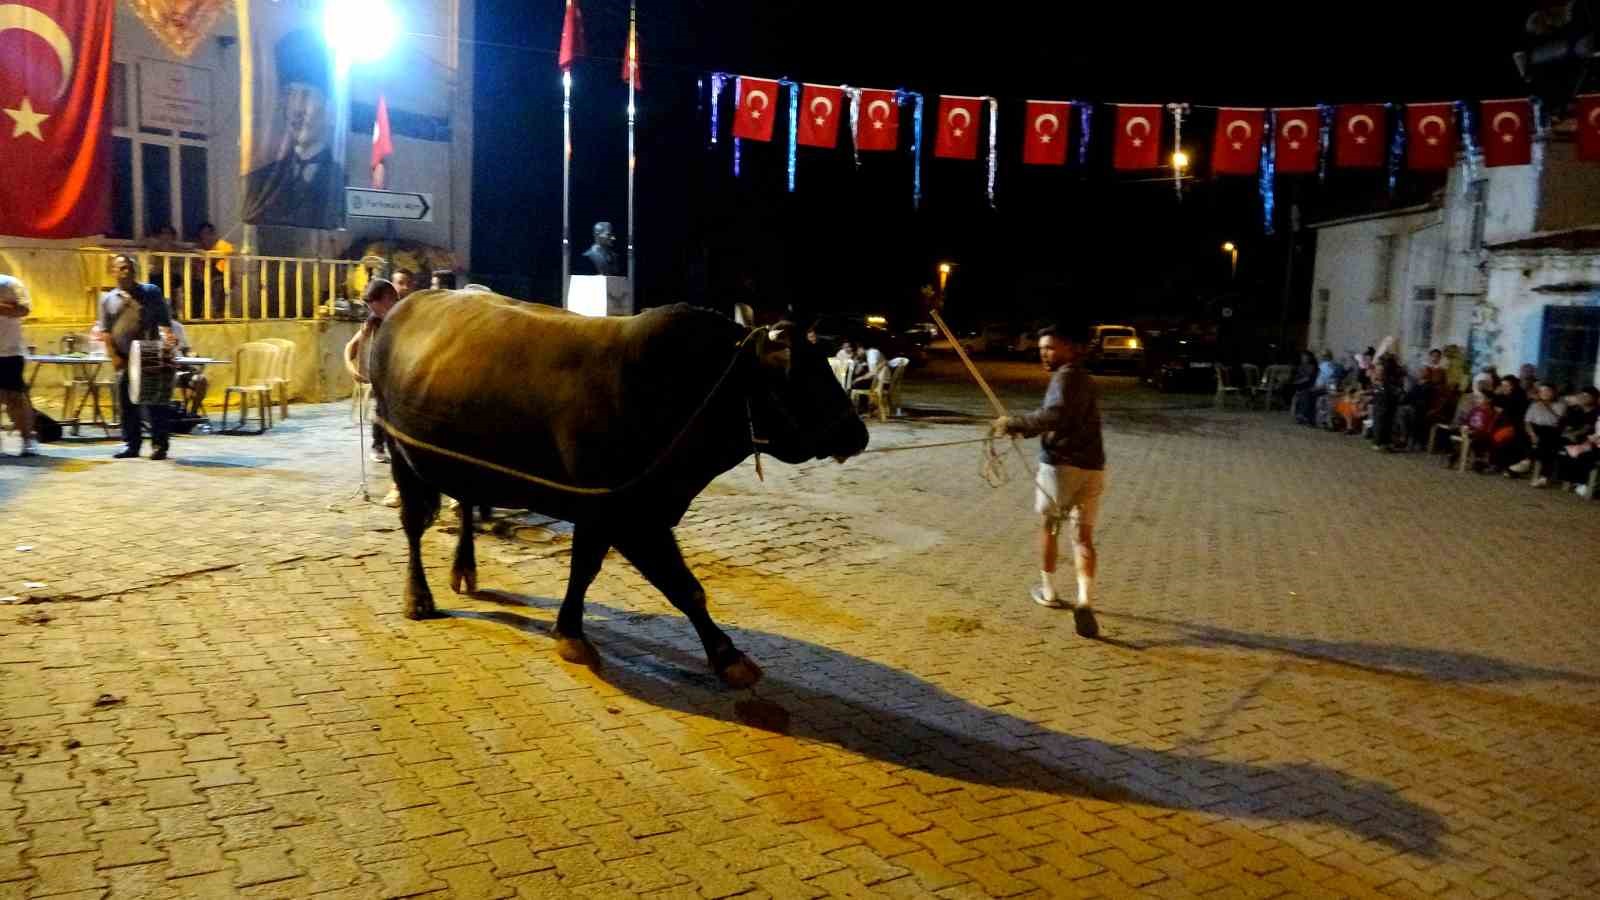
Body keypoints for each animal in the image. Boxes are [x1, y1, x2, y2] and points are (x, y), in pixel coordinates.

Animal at [368, 291, 870, 682]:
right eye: (795, 376)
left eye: (825, 364)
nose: (857, 433)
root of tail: (405, 305)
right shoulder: (623, 515)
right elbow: (674, 585)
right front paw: (725, 655)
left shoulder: (626, 513)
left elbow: (604, 574)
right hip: (401, 453)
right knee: (413, 525)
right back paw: (418, 597)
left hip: (462, 462)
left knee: (468, 501)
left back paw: (464, 569)